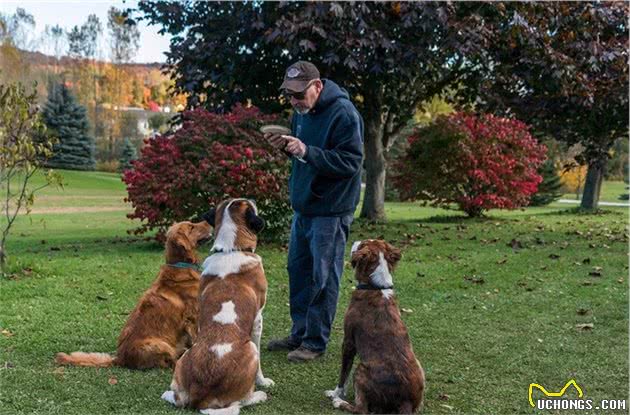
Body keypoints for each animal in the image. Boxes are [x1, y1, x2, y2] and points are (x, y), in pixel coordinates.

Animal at [54, 221, 212, 370]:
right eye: (191, 227)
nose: (207, 221)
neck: (181, 265)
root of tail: (119, 359)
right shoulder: (193, 317)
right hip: (160, 344)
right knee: (168, 361)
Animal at [160, 199, 274, 415]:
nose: (255, 200)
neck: (231, 250)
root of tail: (200, 396)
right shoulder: (259, 319)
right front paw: (263, 381)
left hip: (184, 357)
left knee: (178, 397)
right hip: (251, 349)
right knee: (241, 401)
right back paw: (260, 395)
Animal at [326, 239, 430, 414]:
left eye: (362, 244)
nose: (355, 240)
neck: (375, 286)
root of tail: (406, 401)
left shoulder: (348, 342)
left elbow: (344, 374)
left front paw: (336, 393)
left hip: (360, 370)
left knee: (361, 410)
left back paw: (339, 403)